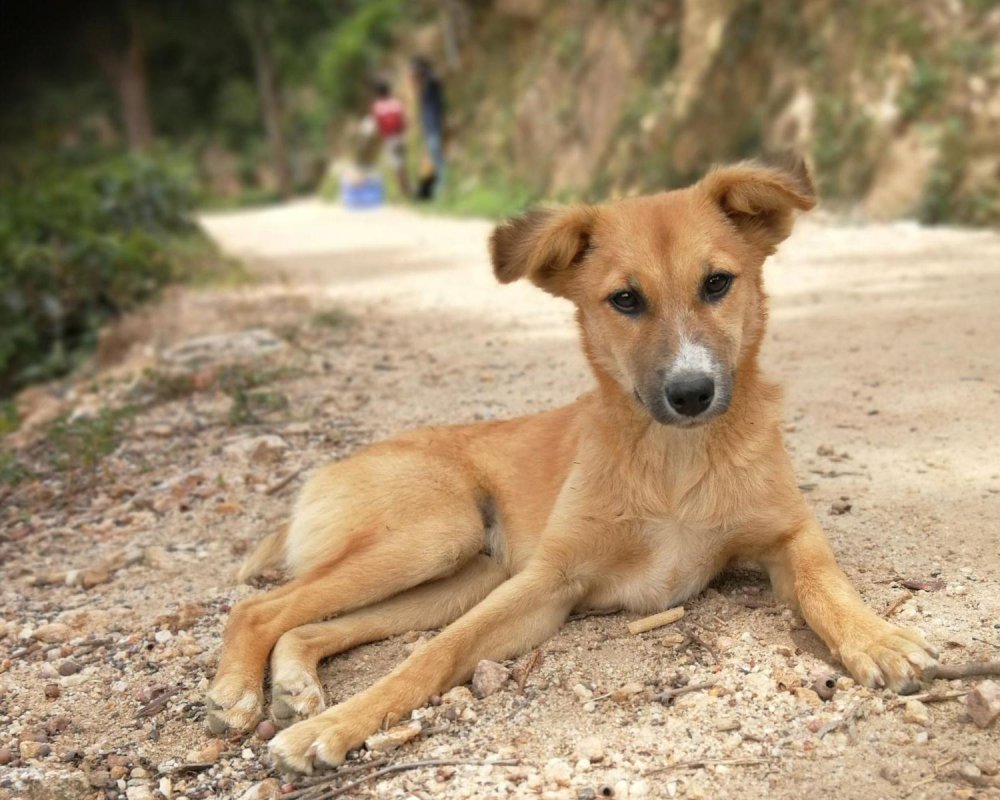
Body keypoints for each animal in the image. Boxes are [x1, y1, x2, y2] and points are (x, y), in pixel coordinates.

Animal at [203, 158, 936, 776]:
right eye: (626, 300)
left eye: (717, 283)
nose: (691, 393)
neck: (674, 463)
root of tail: (333, 469)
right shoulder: (549, 582)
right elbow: (436, 654)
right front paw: (336, 727)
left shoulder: (790, 534)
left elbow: (828, 586)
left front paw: (880, 640)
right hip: (435, 535)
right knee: (258, 608)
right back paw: (238, 695)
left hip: (463, 573)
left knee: (303, 624)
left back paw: (294, 684)